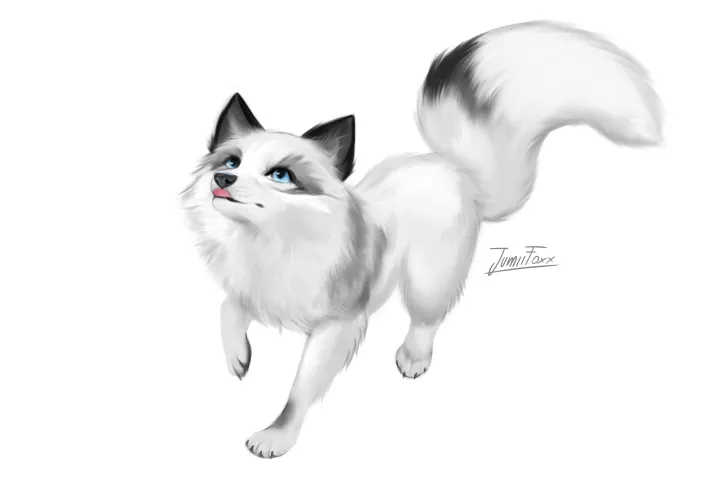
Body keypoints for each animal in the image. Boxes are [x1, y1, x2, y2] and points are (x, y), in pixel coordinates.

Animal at [181, 20, 662, 458]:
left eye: (280, 175)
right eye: (231, 162)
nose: (223, 180)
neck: (267, 241)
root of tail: (457, 169)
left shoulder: (336, 324)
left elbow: (300, 387)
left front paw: (275, 437)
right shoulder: (249, 287)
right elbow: (228, 309)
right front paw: (237, 358)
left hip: (428, 278)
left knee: (427, 318)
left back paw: (414, 357)